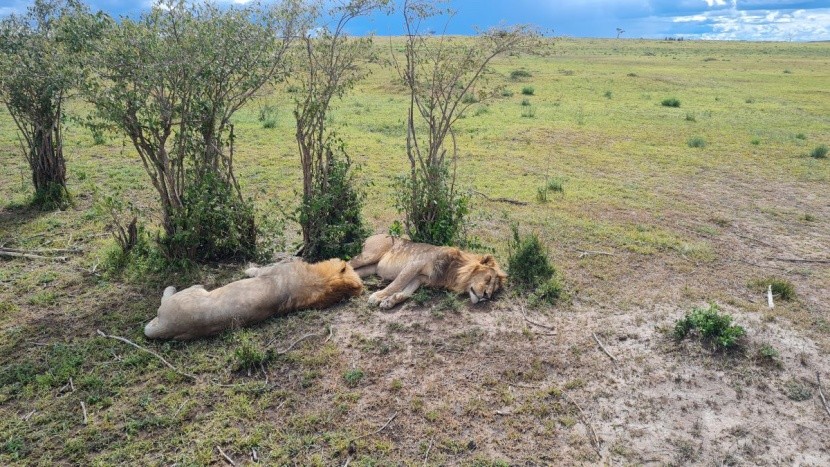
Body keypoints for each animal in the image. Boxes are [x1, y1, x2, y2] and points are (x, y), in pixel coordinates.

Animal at [144, 260, 364, 340]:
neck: (321, 282)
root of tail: (167, 327)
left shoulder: (269, 269)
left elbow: (255, 270)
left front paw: (248, 267)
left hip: (184, 297)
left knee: (168, 297)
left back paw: (176, 287)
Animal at [350, 234, 508, 310]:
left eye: (494, 291)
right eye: (488, 278)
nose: (486, 296)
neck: (454, 271)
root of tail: (372, 236)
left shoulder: (422, 278)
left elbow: (406, 292)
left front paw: (390, 302)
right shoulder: (414, 264)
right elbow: (396, 284)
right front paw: (377, 297)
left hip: (371, 267)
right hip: (370, 255)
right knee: (347, 262)